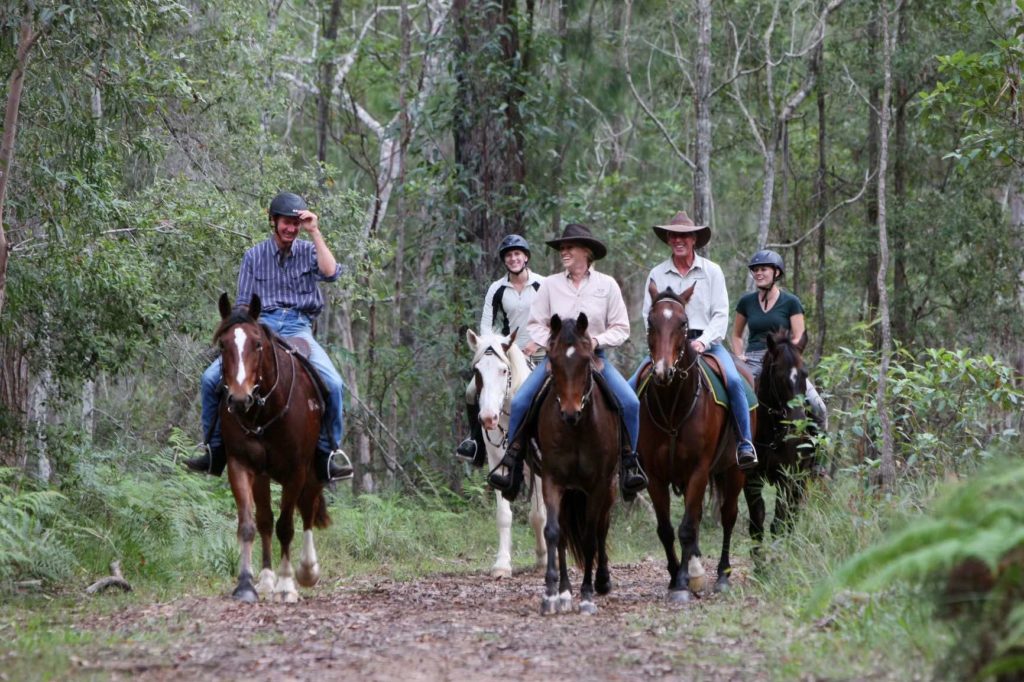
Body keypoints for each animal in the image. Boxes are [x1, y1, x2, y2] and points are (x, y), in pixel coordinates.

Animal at [214, 290, 329, 602]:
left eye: (257, 344)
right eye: (222, 345)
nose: (239, 399)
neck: (263, 411)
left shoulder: (296, 471)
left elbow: (286, 526)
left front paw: (287, 584)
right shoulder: (240, 465)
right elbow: (248, 525)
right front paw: (245, 585)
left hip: (314, 471)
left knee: (308, 511)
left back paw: (308, 570)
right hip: (262, 475)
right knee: (265, 519)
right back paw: (265, 580)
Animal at [462, 329, 544, 573]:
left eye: (504, 370)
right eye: (477, 371)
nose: (489, 418)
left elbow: (539, 514)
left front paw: (546, 559)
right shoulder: (497, 461)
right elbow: (504, 515)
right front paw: (502, 564)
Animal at [532, 313, 618, 614]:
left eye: (585, 359)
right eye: (553, 359)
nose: (570, 413)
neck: (576, 431)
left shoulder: (598, 486)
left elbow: (591, 537)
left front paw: (588, 595)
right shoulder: (552, 480)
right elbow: (553, 533)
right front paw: (551, 594)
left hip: (609, 489)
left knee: (602, 528)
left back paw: (602, 581)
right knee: (564, 534)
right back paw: (565, 592)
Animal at [638, 280, 753, 602]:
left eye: (683, 323)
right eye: (651, 322)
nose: (663, 371)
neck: (673, 409)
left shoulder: (699, 470)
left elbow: (687, 527)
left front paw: (682, 583)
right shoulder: (654, 476)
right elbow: (666, 529)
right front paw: (676, 576)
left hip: (734, 470)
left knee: (728, 516)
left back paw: (722, 575)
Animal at [745, 327, 815, 557]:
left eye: (805, 374)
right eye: (778, 373)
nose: (798, 421)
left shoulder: (786, 477)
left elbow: (778, 523)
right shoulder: (751, 479)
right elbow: (757, 522)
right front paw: (759, 562)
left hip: (801, 478)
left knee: (793, 514)